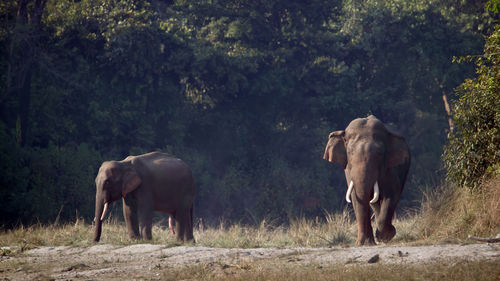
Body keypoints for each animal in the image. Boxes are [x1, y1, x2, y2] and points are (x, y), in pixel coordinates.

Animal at [324, 115, 410, 244]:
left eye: (380, 153)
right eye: (350, 152)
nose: (359, 242)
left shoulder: (391, 169)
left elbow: (391, 195)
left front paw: (385, 236)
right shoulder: (348, 170)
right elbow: (356, 197)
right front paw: (366, 243)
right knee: (372, 202)